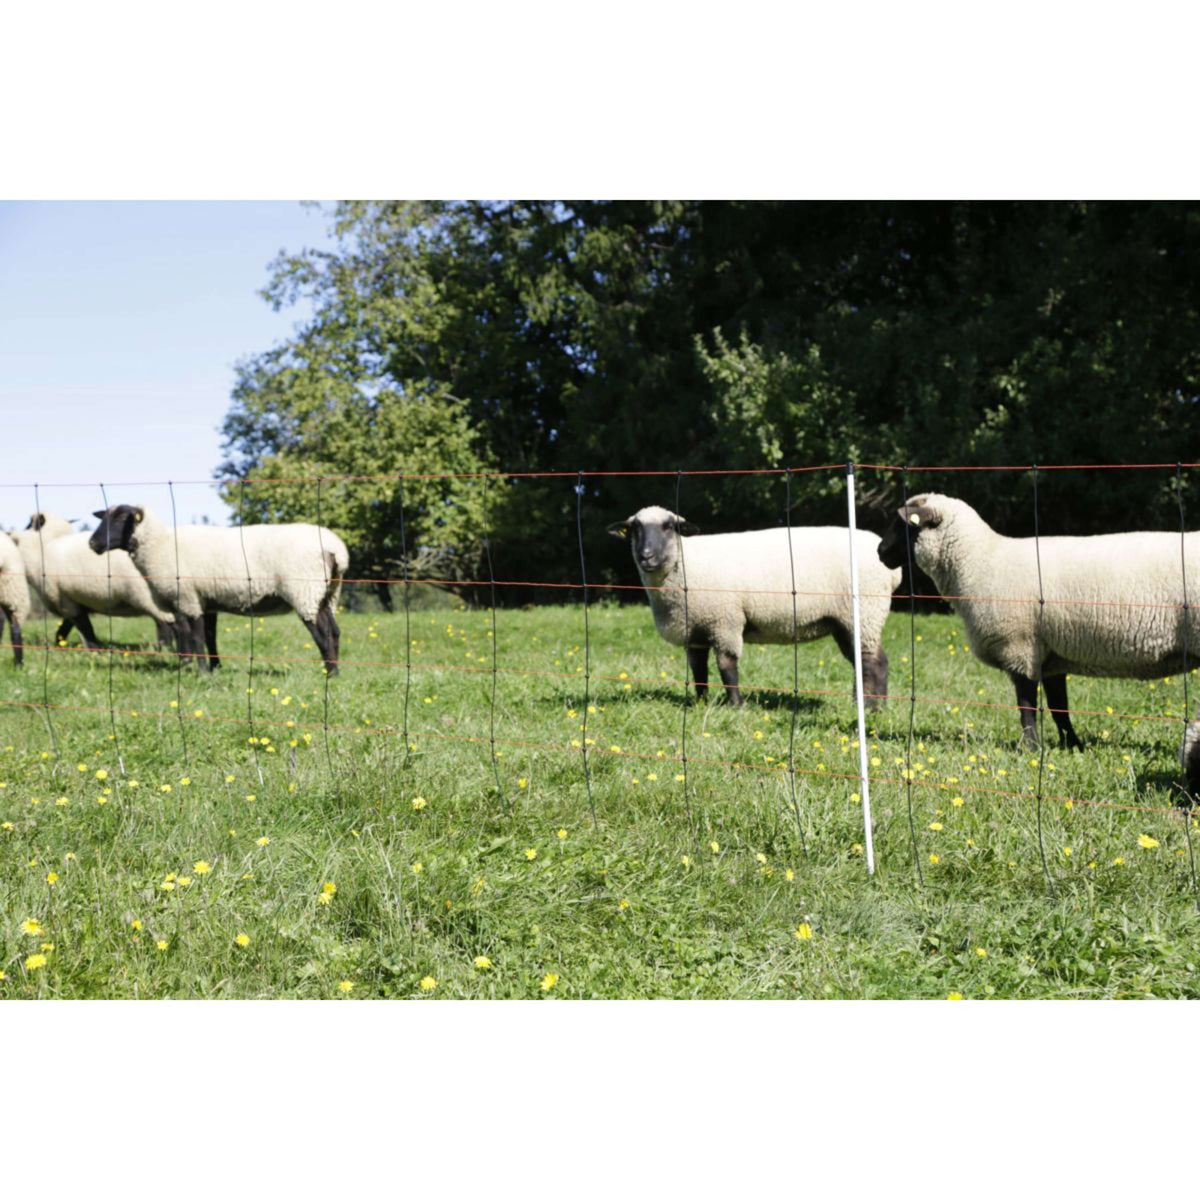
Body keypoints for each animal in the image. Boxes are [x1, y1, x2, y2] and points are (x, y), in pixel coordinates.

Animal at [10, 513, 176, 650]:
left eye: (28, 525)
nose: (11, 534)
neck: (41, 550)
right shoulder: (74, 601)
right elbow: (65, 628)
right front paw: (60, 645)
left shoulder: (64, 600)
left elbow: (84, 628)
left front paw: (94, 649)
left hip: (146, 596)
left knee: (165, 624)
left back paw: (163, 649)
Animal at [89, 504, 350, 674]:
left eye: (121, 519)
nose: (92, 543)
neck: (159, 544)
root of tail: (336, 549)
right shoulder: (206, 600)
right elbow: (209, 636)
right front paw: (215, 667)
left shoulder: (187, 597)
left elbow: (193, 635)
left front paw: (201, 671)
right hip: (326, 594)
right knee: (335, 631)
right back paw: (335, 671)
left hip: (304, 590)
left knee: (322, 633)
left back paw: (330, 673)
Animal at [608, 505, 901, 707]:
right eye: (635, 529)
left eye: (669, 527)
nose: (646, 556)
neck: (685, 565)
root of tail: (892, 572)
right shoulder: (696, 629)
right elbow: (698, 669)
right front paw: (701, 702)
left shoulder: (725, 621)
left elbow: (727, 665)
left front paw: (736, 705)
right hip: (847, 621)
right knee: (866, 661)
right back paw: (868, 704)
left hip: (864, 612)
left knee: (874, 662)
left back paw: (872, 707)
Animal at [877, 492, 1200, 752]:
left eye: (903, 525)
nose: (880, 552)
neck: (977, 562)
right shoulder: (1051, 651)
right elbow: (1059, 707)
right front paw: (1073, 746)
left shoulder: (1020, 645)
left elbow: (1027, 704)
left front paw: (1030, 748)